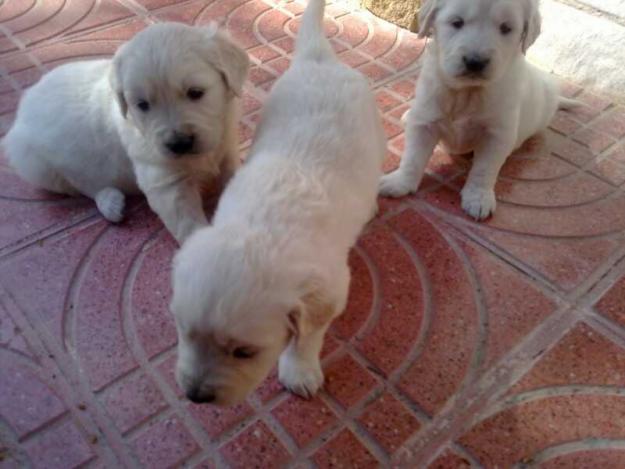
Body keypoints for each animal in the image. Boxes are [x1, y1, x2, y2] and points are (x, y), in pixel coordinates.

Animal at [4, 22, 250, 241]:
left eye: (195, 93)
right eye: (142, 105)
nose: (179, 144)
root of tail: (25, 101)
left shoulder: (227, 148)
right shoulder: (164, 182)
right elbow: (188, 224)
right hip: (36, 164)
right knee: (82, 186)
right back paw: (110, 202)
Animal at [171, 0, 386, 404]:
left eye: (244, 352)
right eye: (184, 331)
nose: (196, 396)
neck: (263, 230)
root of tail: (319, 59)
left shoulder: (332, 288)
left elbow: (309, 334)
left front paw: (299, 369)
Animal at [378, 0, 576, 219]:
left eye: (506, 28)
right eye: (457, 22)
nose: (475, 62)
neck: (468, 92)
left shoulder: (496, 135)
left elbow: (484, 170)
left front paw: (478, 198)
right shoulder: (425, 120)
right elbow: (412, 157)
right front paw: (400, 182)